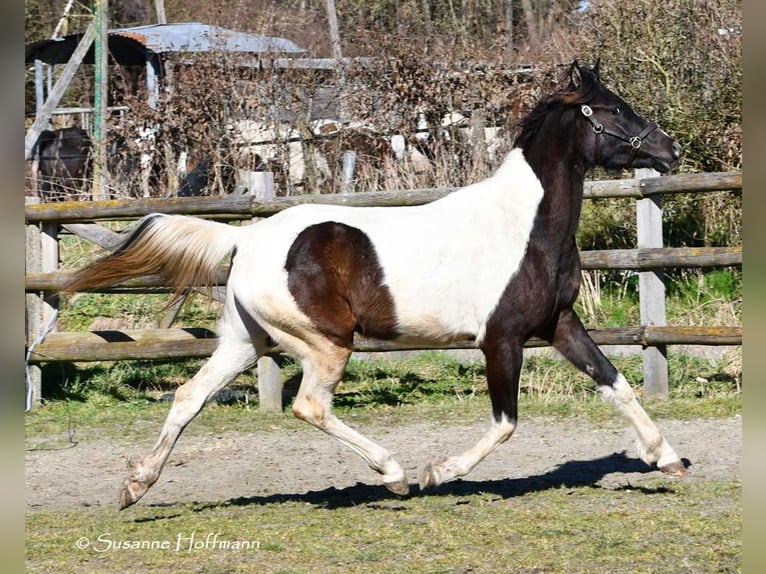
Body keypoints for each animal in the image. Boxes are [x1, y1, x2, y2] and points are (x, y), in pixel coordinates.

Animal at [64, 60, 686, 510]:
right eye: (612, 109)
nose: (669, 149)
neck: (525, 226)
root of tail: (249, 238)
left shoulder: (558, 324)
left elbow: (615, 383)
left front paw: (668, 457)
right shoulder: (501, 339)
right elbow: (506, 423)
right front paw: (439, 472)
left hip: (246, 340)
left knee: (189, 395)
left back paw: (136, 485)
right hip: (325, 343)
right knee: (309, 405)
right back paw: (395, 474)